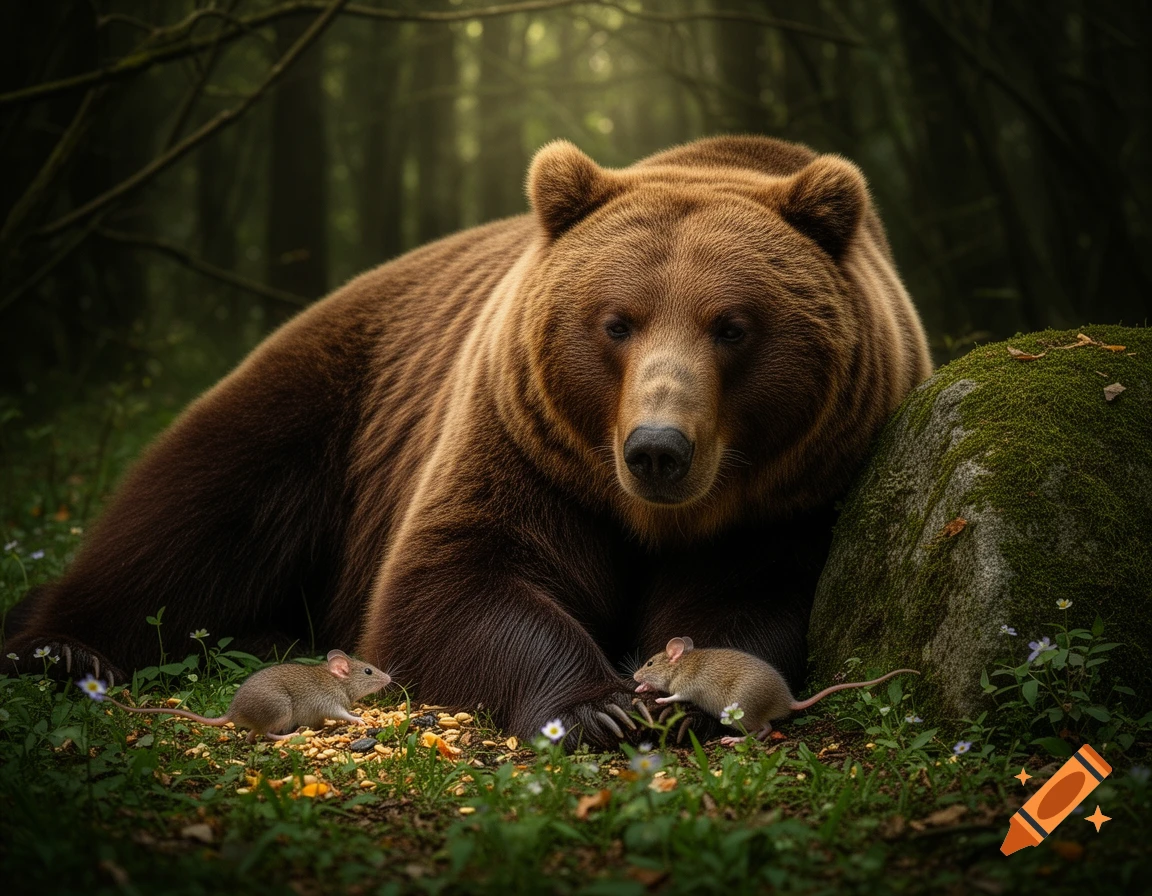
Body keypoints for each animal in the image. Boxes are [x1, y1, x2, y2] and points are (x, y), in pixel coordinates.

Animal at [4, 136, 931, 748]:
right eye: (617, 322)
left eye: (732, 326)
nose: (657, 449)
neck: (654, 515)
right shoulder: (524, 442)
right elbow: (455, 578)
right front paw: (598, 703)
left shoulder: (800, 487)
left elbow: (760, 597)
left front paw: (675, 693)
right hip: (331, 405)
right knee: (189, 519)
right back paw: (58, 644)